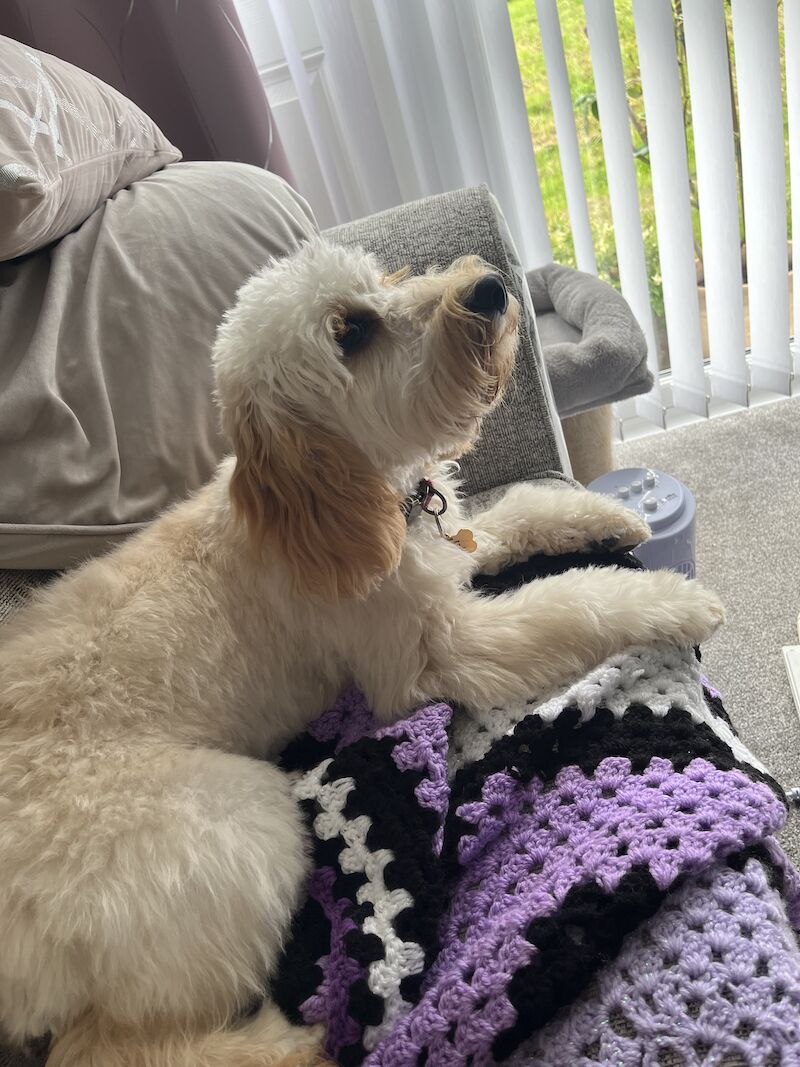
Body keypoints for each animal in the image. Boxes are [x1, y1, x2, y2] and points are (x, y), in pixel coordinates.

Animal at [0, 244, 725, 1067]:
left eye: (381, 279)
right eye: (350, 334)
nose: (488, 286)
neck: (343, 496)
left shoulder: (450, 548)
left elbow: (519, 512)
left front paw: (607, 513)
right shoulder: (441, 657)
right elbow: (571, 602)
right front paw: (671, 600)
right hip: (242, 818)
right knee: (115, 1048)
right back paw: (298, 1042)